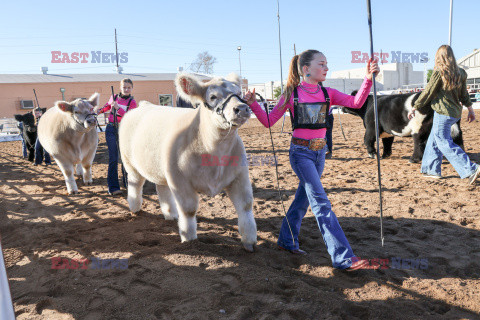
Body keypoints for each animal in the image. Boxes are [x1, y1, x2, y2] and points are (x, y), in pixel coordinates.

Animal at [118, 74, 256, 251]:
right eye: (212, 96)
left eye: (239, 92)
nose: (242, 108)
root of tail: (143, 105)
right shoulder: (179, 180)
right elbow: (188, 210)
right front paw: (189, 240)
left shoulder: (240, 176)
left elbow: (245, 206)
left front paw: (250, 242)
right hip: (130, 163)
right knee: (135, 185)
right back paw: (135, 208)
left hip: (160, 167)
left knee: (162, 188)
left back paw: (170, 214)